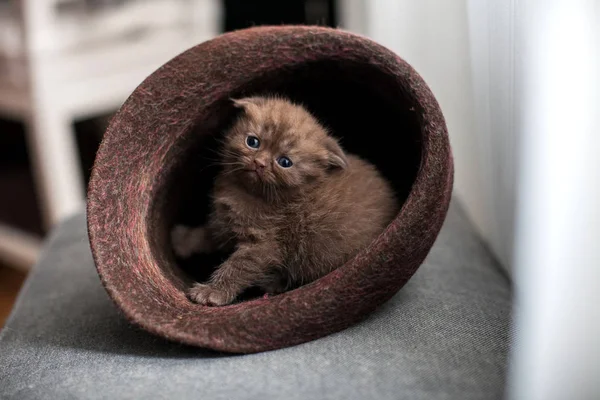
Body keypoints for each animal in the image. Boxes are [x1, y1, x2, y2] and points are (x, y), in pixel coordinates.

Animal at [172, 97, 398, 306]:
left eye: (285, 162)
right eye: (253, 142)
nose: (260, 163)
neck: (246, 192)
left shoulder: (265, 243)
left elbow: (237, 267)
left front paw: (212, 292)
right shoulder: (223, 224)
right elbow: (206, 234)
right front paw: (183, 240)